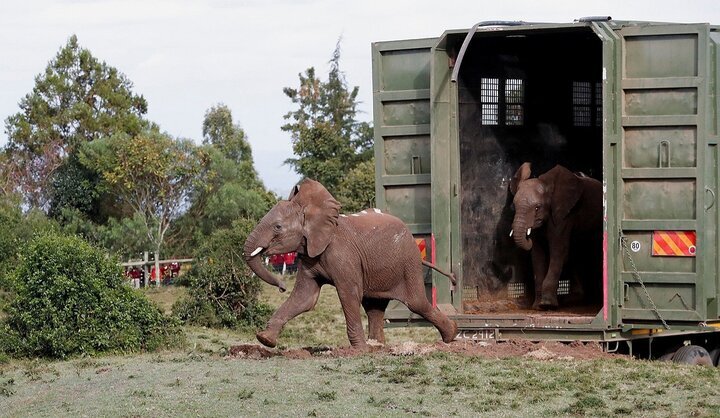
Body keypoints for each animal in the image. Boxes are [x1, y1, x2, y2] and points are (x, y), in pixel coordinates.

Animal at [242, 178, 456, 348]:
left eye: (277, 227)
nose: (282, 287)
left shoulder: (343, 256)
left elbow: (349, 294)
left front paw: (359, 349)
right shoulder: (310, 255)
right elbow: (304, 298)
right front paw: (265, 340)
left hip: (408, 262)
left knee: (416, 302)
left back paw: (451, 335)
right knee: (374, 306)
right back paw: (377, 345)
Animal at [510, 163, 604, 310]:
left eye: (537, 207)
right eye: (514, 206)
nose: (528, 237)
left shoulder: (564, 215)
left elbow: (558, 250)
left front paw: (547, 304)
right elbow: (537, 254)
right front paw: (537, 306)